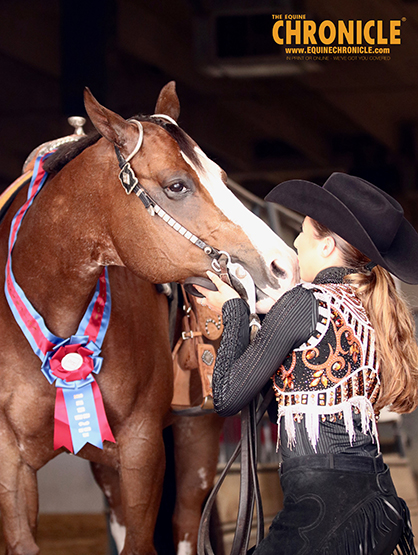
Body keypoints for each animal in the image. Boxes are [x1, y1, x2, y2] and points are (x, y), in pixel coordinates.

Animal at [0, 83, 298, 555]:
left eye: (223, 180)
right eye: (176, 185)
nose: (284, 266)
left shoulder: (142, 447)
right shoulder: (10, 461)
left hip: (196, 439)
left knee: (186, 524)